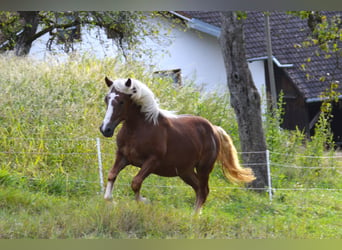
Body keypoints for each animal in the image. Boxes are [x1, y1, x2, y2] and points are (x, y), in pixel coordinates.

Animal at [99, 77, 254, 212]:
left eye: (121, 101)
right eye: (107, 99)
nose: (106, 129)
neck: (139, 129)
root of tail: (214, 129)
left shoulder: (152, 161)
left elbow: (135, 182)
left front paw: (144, 201)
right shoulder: (122, 156)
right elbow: (111, 176)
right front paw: (111, 200)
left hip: (204, 168)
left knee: (204, 191)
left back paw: (194, 218)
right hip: (185, 171)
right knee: (198, 189)